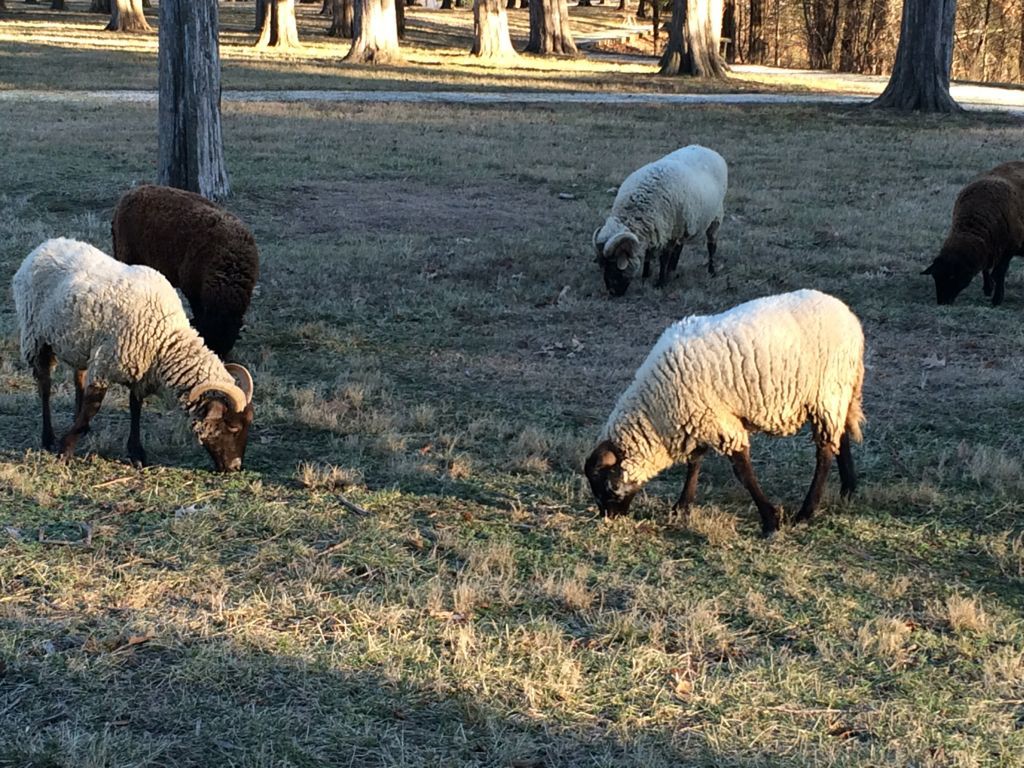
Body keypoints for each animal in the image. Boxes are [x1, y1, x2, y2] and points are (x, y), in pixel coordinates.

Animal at [12, 237, 256, 473]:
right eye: (233, 427)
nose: (234, 467)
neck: (165, 337)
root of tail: (43, 246)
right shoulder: (105, 364)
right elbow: (93, 407)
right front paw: (65, 451)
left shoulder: (139, 371)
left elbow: (135, 407)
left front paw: (136, 453)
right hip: (35, 337)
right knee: (44, 386)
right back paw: (48, 437)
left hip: (79, 343)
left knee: (77, 376)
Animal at [585, 286, 864, 536]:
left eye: (606, 486)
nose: (609, 517)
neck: (655, 413)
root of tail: (849, 316)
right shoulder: (698, 419)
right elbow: (695, 461)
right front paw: (682, 506)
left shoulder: (717, 421)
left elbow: (742, 472)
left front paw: (770, 522)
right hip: (836, 393)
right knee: (840, 436)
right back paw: (848, 489)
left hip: (827, 390)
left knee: (825, 452)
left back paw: (806, 512)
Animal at [593, 144, 729, 296]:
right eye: (602, 265)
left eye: (614, 265)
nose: (613, 292)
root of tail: (707, 149)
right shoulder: (654, 228)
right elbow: (648, 254)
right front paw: (645, 276)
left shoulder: (671, 231)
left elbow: (664, 257)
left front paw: (661, 282)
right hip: (685, 223)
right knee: (680, 246)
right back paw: (673, 269)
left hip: (715, 217)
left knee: (711, 245)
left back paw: (711, 271)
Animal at [921, 159, 1024, 307]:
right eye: (936, 277)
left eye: (952, 276)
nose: (942, 303)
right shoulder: (990, 247)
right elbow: (986, 268)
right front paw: (988, 289)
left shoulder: (1009, 248)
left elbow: (999, 273)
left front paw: (997, 299)